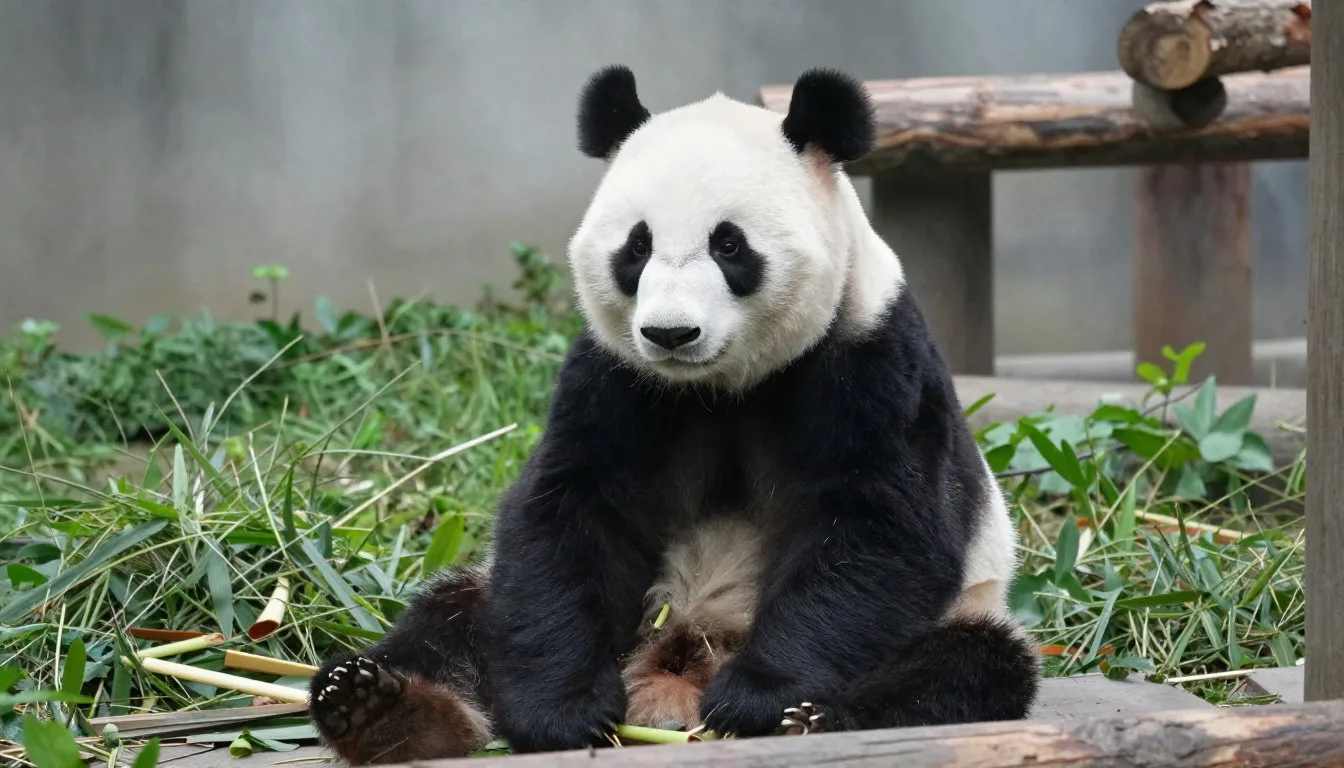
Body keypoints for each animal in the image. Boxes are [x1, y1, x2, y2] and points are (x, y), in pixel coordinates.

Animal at [307, 64, 1041, 765]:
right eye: (637, 246)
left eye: (729, 245)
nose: (669, 333)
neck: (721, 383)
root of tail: (679, 660)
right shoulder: (614, 374)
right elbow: (569, 508)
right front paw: (564, 711)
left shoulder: (872, 359)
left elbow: (880, 524)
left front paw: (759, 697)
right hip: (510, 598)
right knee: (452, 618)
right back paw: (380, 710)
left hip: (968, 609)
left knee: (971, 665)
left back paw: (817, 720)